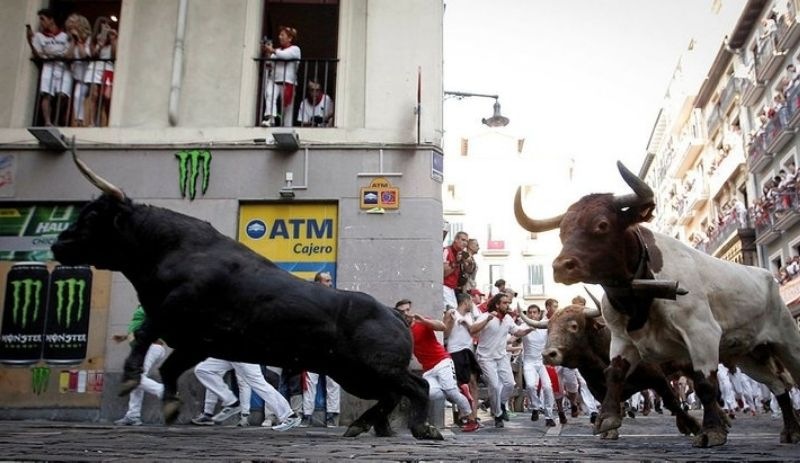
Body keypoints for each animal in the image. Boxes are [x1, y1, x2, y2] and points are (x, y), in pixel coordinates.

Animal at [50, 155, 444, 438]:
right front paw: (172, 406)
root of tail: (395, 313)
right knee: (391, 394)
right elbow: (168, 367)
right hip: (354, 373)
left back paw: (422, 428)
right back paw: (365, 426)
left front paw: (132, 378)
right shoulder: (196, 342)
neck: (170, 248)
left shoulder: (175, 311)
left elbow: (146, 335)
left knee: (416, 385)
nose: (57, 243)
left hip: (374, 367)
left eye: (94, 215)